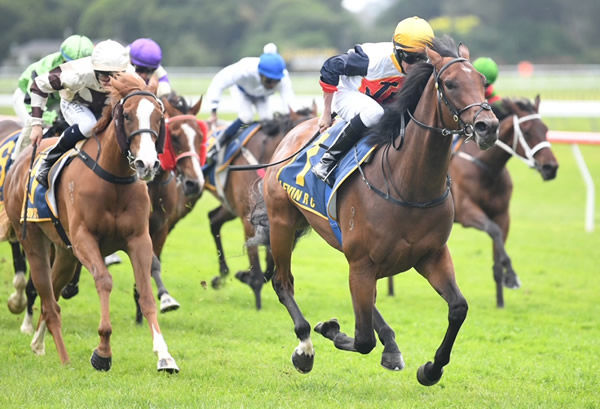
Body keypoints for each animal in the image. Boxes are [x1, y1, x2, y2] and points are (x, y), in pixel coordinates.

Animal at [4, 71, 178, 372]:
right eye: (127, 116)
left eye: (158, 116)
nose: (146, 164)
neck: (113, 178)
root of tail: (20, 163)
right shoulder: (85, 239)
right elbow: (104, 281)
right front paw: (103, 352)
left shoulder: (139, 240)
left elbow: (146, 293)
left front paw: (165, 356)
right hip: (34, 242)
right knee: (47, 298)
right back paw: (63, 357)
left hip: (65, 252)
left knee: (53, 297)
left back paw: (38, 343)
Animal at [207, 103, 318, 308]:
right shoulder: (249, 220)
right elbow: (259, 264)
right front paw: (253, 286)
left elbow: (270, 264)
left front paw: (245, 275)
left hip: (230, 206)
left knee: (213, 219)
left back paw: (221, 275)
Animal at [247, 36, 496, 384]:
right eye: (450, 83)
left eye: (482, 82)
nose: (488, 126)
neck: (407, 185)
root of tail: (293, 134)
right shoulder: (363, 262)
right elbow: (362, 339)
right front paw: (329, 330)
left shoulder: (431, 255)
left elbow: (458, 308)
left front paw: (431, 369)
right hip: (283, 222)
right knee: (282, 282)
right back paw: (305, 346)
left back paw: (389, 345)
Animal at [452, 95, 560, 306]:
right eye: (526, 131)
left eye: (545, 129)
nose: (551, 167)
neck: (486, 168)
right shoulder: (465, 211)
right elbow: (494, 231)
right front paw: (512, 276)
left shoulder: (503, 215)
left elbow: (498, 245)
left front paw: (500, 302)